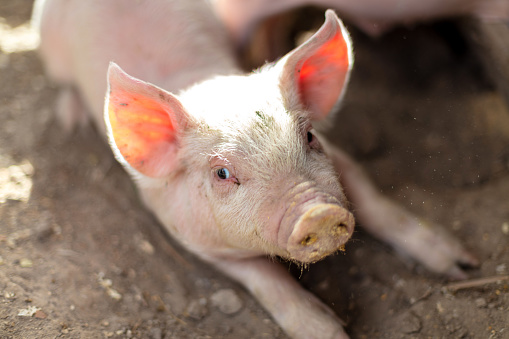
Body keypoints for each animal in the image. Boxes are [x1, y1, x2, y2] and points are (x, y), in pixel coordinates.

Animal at [31, 1, 476, 338]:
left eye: (309, 136)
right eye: (222, 174)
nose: (319, 213)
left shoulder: (341, 160)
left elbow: (376, 204)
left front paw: (463, 263)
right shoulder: (191, 236)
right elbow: (265, 276)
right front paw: (329, 332)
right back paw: (70, 118)